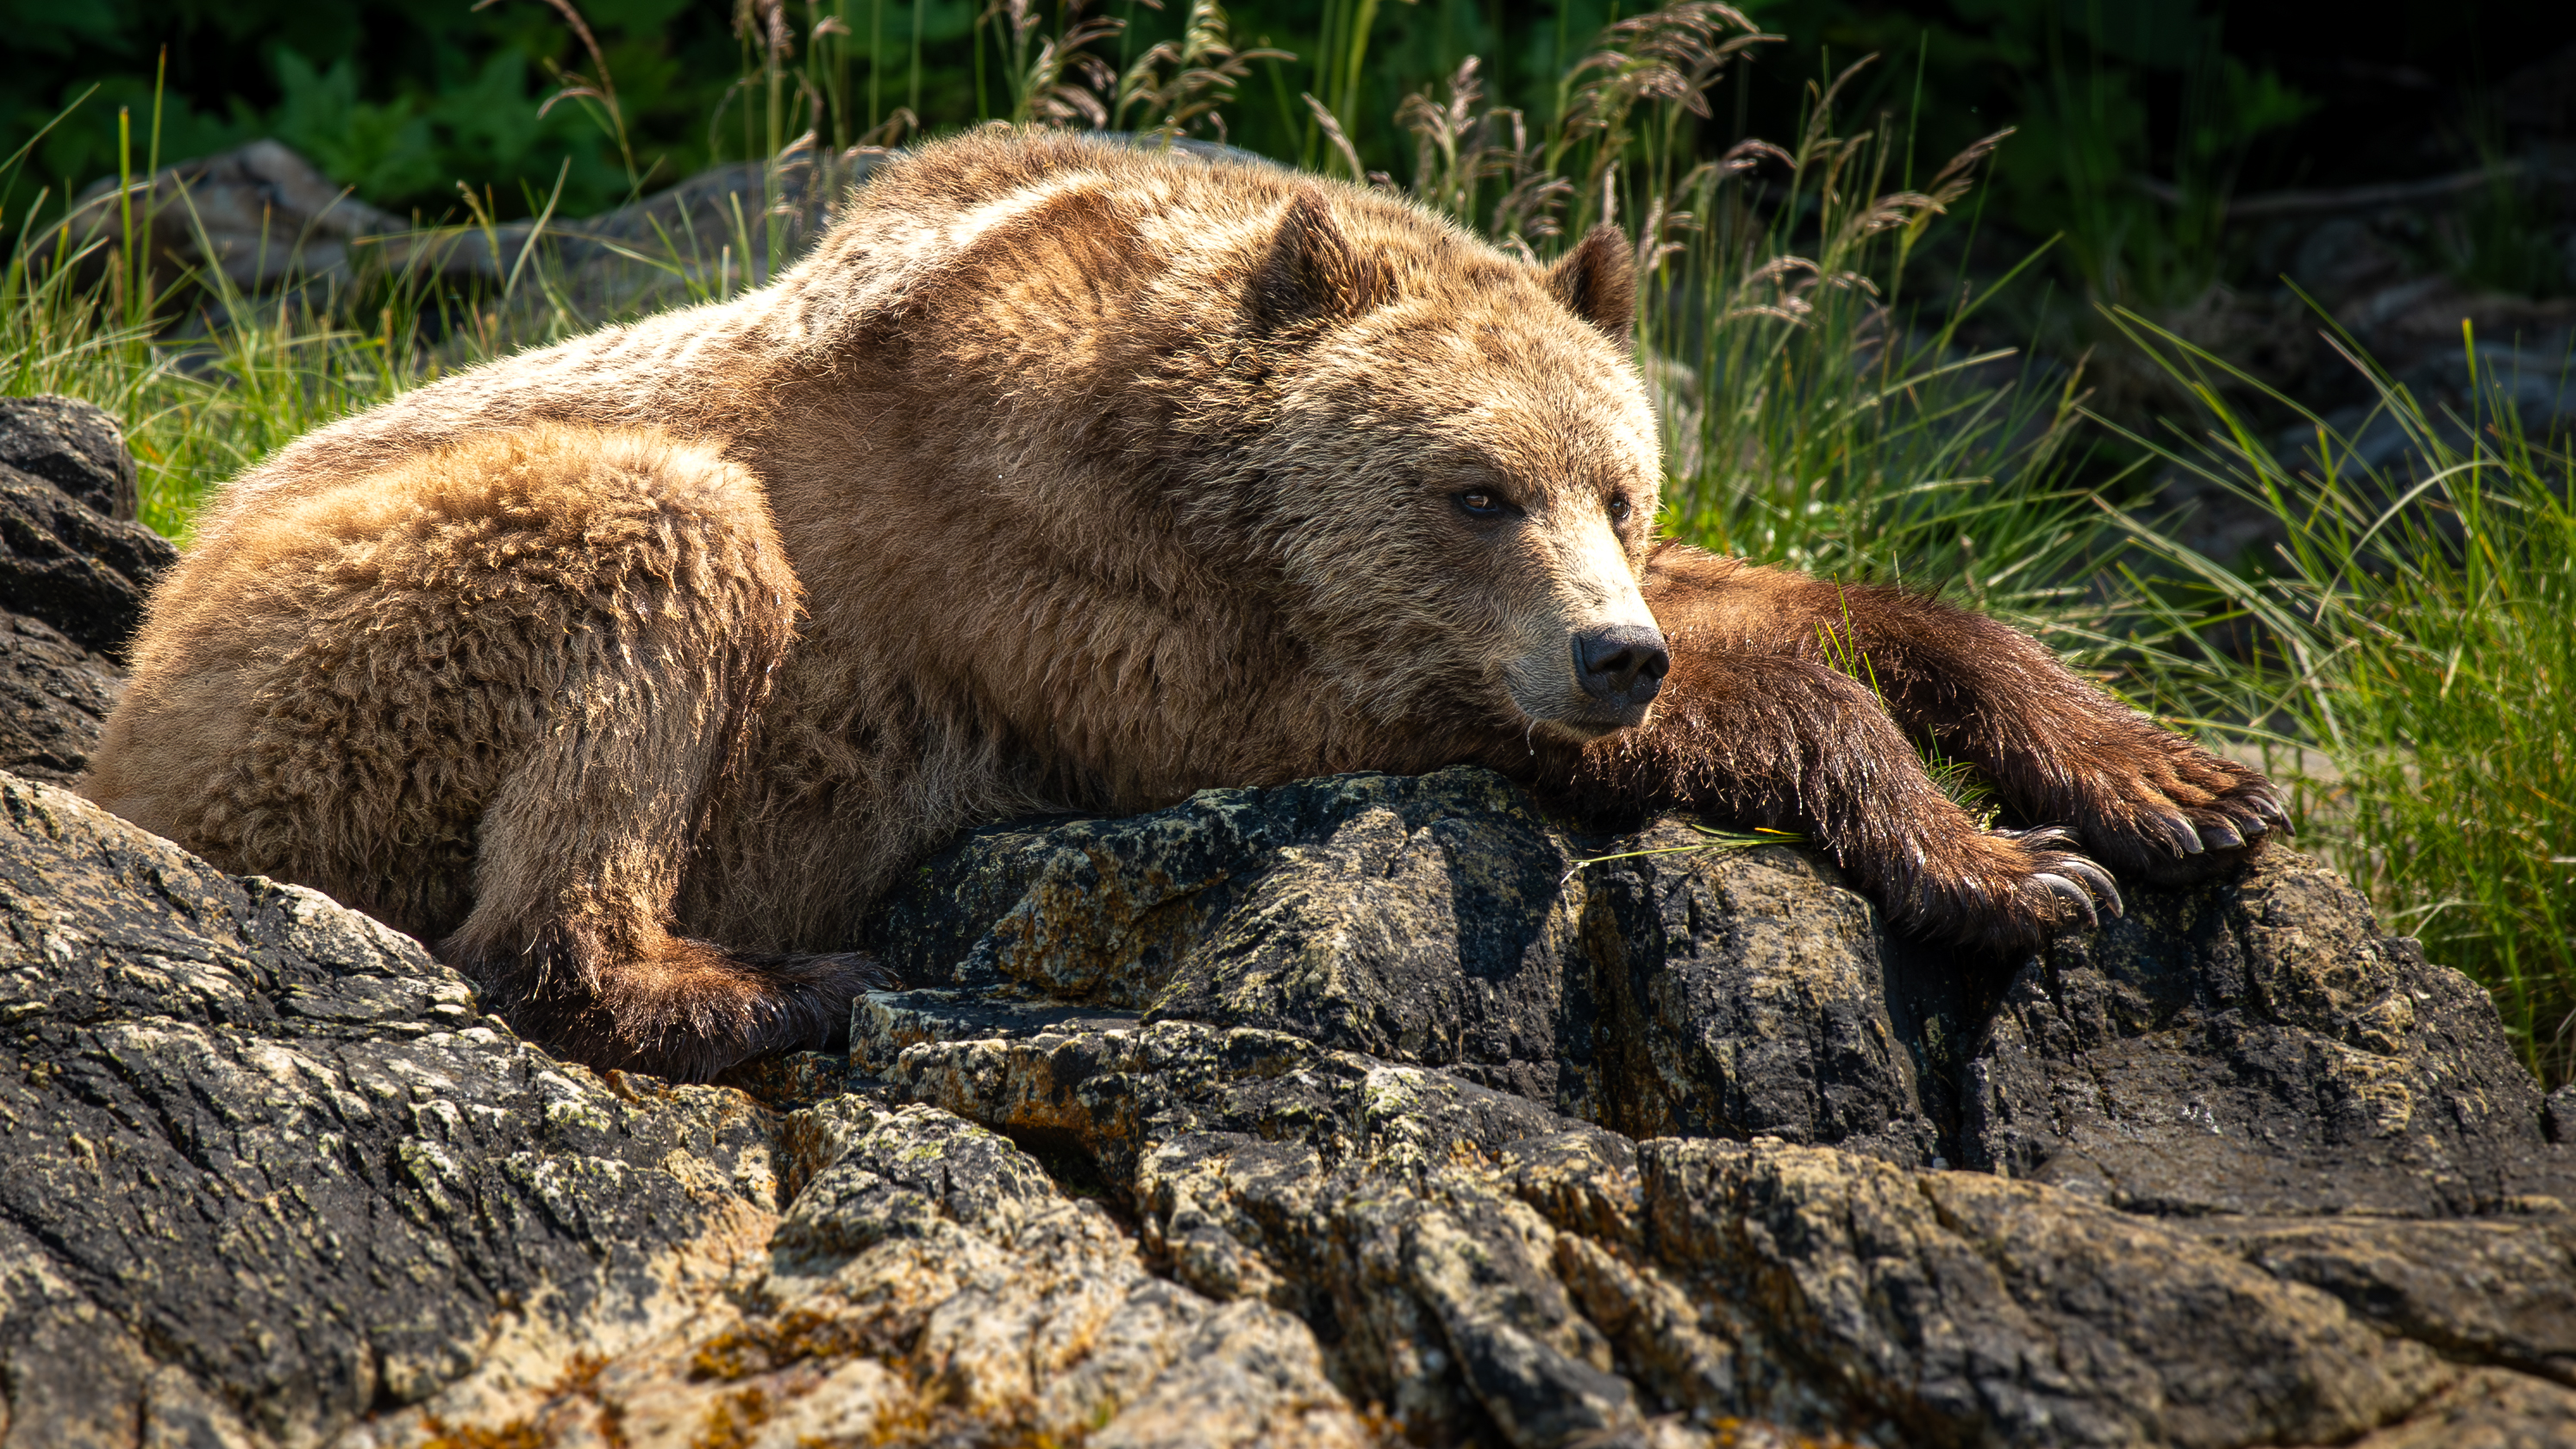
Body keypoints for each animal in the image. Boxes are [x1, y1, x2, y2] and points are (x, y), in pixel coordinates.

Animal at [82, 129, 2285, 1081]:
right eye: (1471, 489)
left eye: (1618, 482)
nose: (1610, 650)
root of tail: (124, 714)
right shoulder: (1090, 593)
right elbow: (1469, 710)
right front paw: (2001, 868)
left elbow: (1842, 601)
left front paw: (2171, 782)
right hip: (350, 651)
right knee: (652, 553)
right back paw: (750, 978)